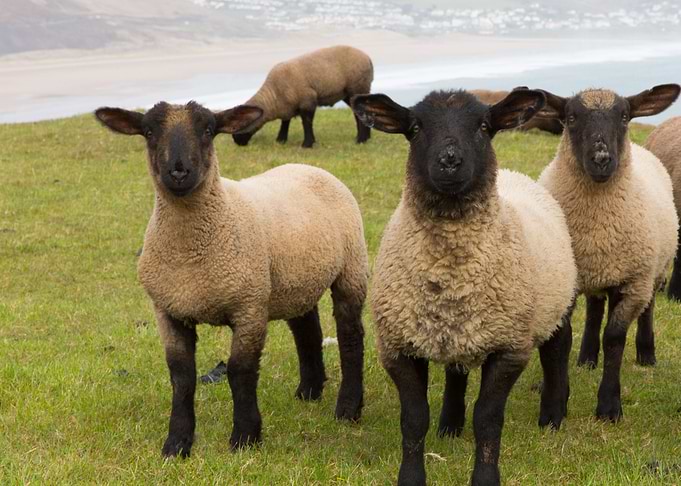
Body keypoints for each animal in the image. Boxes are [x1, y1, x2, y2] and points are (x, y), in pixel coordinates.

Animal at [94, 100, 368, 457]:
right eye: (149, 131)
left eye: (209, 130)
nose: (179, 172)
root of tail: (308, 167)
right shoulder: (168, 310)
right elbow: (181, 376)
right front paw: (177, 443)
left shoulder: (249, 307)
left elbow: (240, 371)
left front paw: (245, 436)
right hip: (295, 280)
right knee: (307, 331)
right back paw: (309, 391)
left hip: (351, 267)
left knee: (351, 336)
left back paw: (348, 408)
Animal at [232, 45, 373, 148]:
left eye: (241, 124)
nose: (236, 141)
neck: (274, 95)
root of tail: (368, 58)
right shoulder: (288, 106)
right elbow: (285, 122)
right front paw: (281, 140)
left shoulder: (307, 101)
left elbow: (307, 122)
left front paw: (307, 144)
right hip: (349, 93)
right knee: (359, 112)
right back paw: (364, 137)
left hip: (358, 87)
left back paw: (361, 140)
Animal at [351, 89, 577, 486]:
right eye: (414, 128)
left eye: (484, 126)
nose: (450, 161)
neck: (449, 270)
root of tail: (517, 176)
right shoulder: (397, 346)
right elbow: (413, 419)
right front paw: (412, 477)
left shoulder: (509, 347)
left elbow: (487, 419)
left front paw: (485, 478)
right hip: (460, 332)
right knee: (456, 371)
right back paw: (449, 427)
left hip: (555, 303)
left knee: (557, 351)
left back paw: (552, 416)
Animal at [536, 84, 680, 422]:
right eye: (571, 117)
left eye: (625, 116)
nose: (602, 159)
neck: (597, 229)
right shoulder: (568, 279)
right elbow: (563, 339)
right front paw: (556, 404)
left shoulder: (632, 282)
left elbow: (614, 339)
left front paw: (609, 407)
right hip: (595, 274)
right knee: (594, 307)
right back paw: (587, 357)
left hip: (652, 271)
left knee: (648, 307)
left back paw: (646, 353)